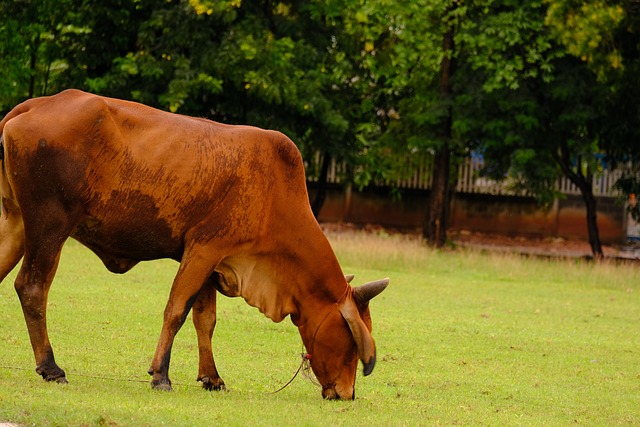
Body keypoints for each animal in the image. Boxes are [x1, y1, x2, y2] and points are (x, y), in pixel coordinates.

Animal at [0, 89, 388, 402]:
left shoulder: (214, 263)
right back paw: (51, 367)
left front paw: (212, 377)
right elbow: (176, 311)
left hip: (16, 223)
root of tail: (34, 105)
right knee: (32, 287)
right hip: (50, 225)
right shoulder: (203, 249)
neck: (275, 197)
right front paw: (160, 375)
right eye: (352, 340)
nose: (347, 394)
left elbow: (206, 319)